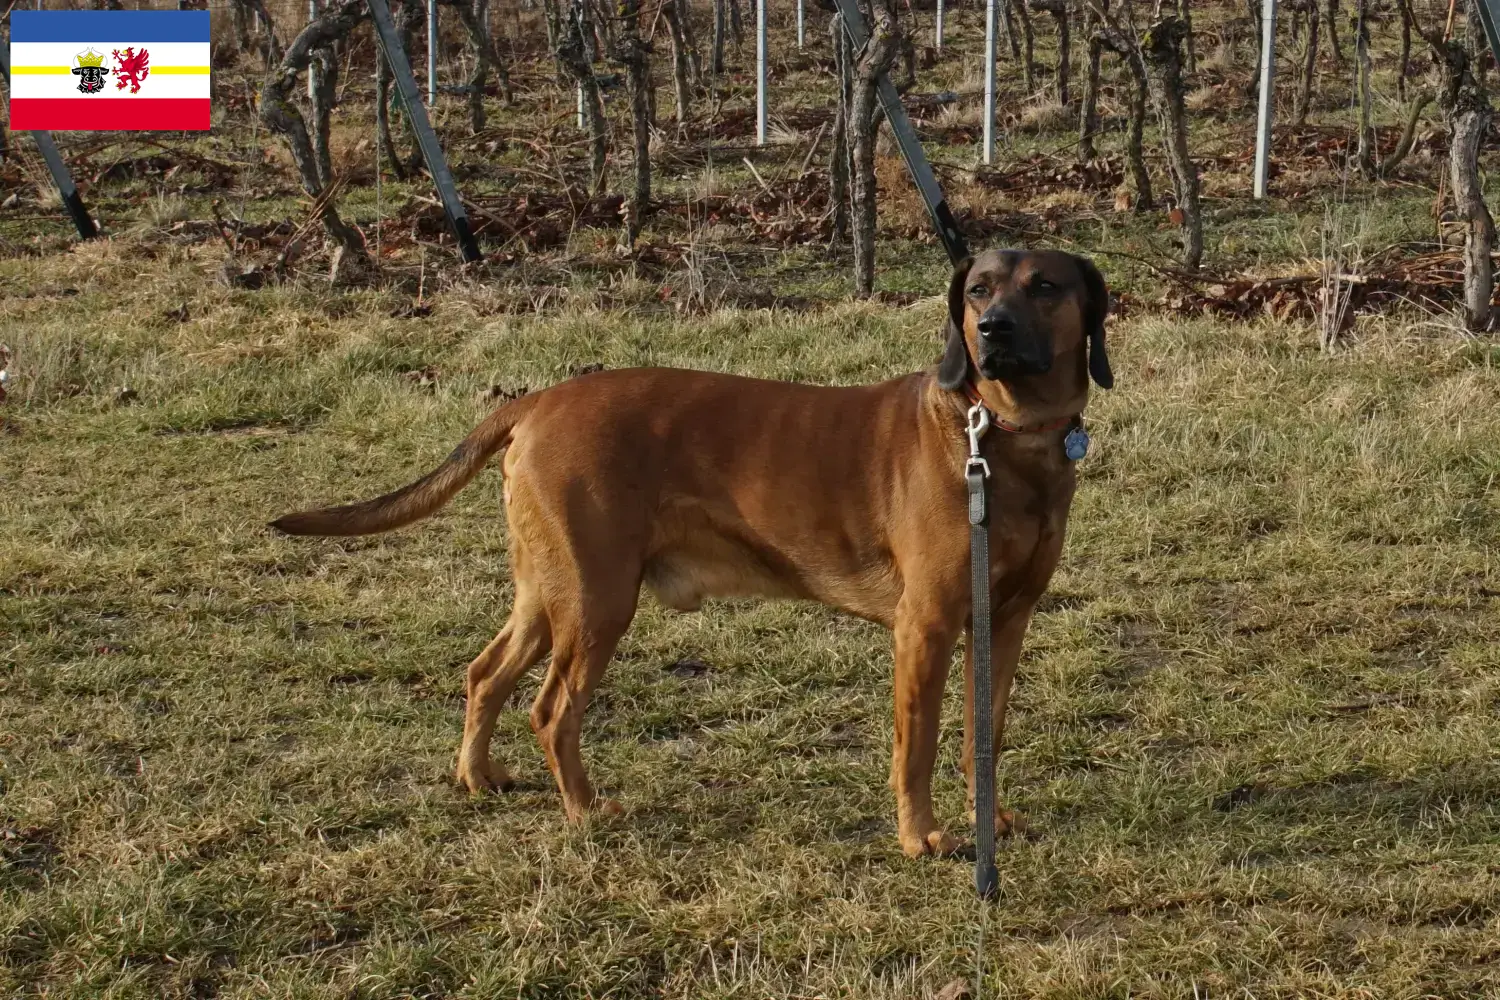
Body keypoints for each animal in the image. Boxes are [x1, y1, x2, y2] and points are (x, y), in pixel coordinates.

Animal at [270, 248, 1116, 851]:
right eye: (976, 290)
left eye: (1045, 286)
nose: (992, 330)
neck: (1002, 434)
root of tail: (536, 402)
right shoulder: (927, 627)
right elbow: (917, 744)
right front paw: (924, 836)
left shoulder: (1005, 621)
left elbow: (986, 732)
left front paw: (989, 821)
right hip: (599, 600)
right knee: (552, 709)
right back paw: (585, 813)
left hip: (551, 591)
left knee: (486, 674)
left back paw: (478, 777)